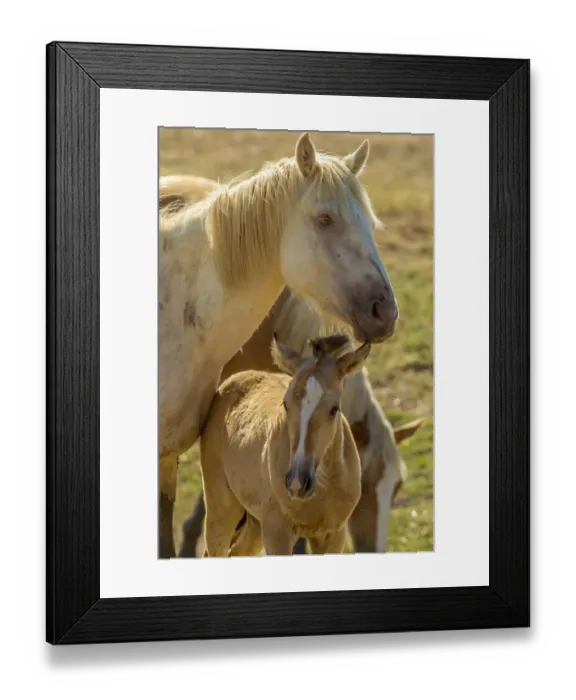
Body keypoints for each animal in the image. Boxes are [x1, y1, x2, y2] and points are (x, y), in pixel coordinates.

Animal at [201, 334, 369, 557]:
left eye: (334, 409)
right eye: (286, 404)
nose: (297, 482)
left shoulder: (332, 534)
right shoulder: (277, 532)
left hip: (255, 524)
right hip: (222, 512)